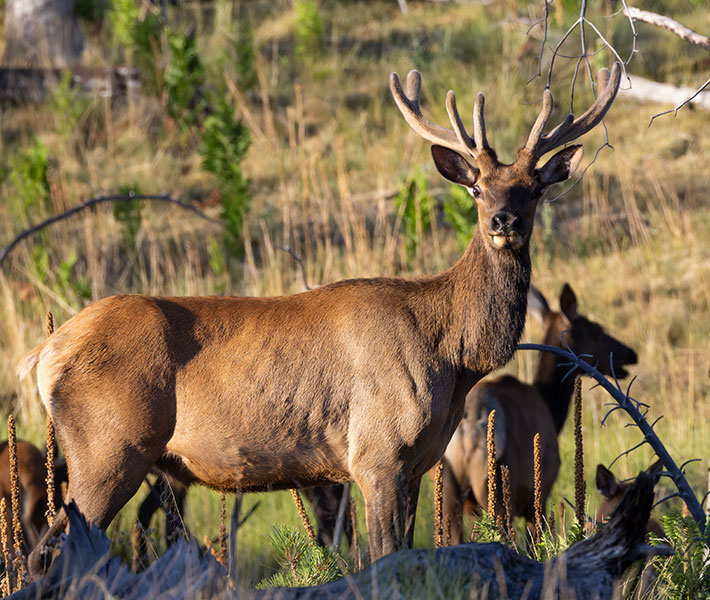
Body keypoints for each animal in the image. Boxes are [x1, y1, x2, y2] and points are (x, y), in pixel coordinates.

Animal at [440, 283, 638, 544]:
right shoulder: (541, 492)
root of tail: (467, 427)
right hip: (496, 489)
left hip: (449, 492)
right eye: (596, 331)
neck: (552, 409)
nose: (631, 353)